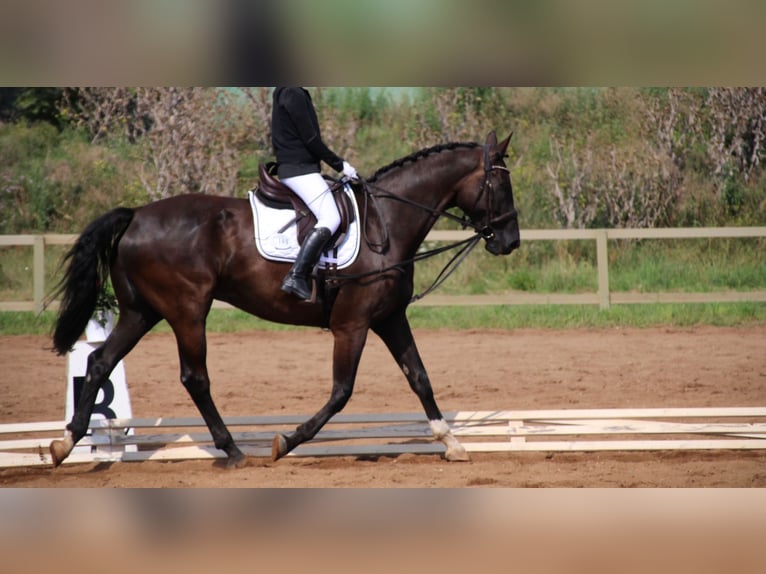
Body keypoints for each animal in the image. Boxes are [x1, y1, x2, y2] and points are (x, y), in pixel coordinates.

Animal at [49, 133, 520, 470]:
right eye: (500, 184)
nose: (510, 242)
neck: (387, 223)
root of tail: (137, 215)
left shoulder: (389, 318)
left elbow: (420, 378)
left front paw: (451, 442)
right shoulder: (352, 324)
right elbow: (341, 392)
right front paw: (286, 441)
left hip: (140, 312)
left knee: (99, 363)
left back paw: (65, 444)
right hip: (187, 311)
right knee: (194, 377)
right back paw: (232, 451)